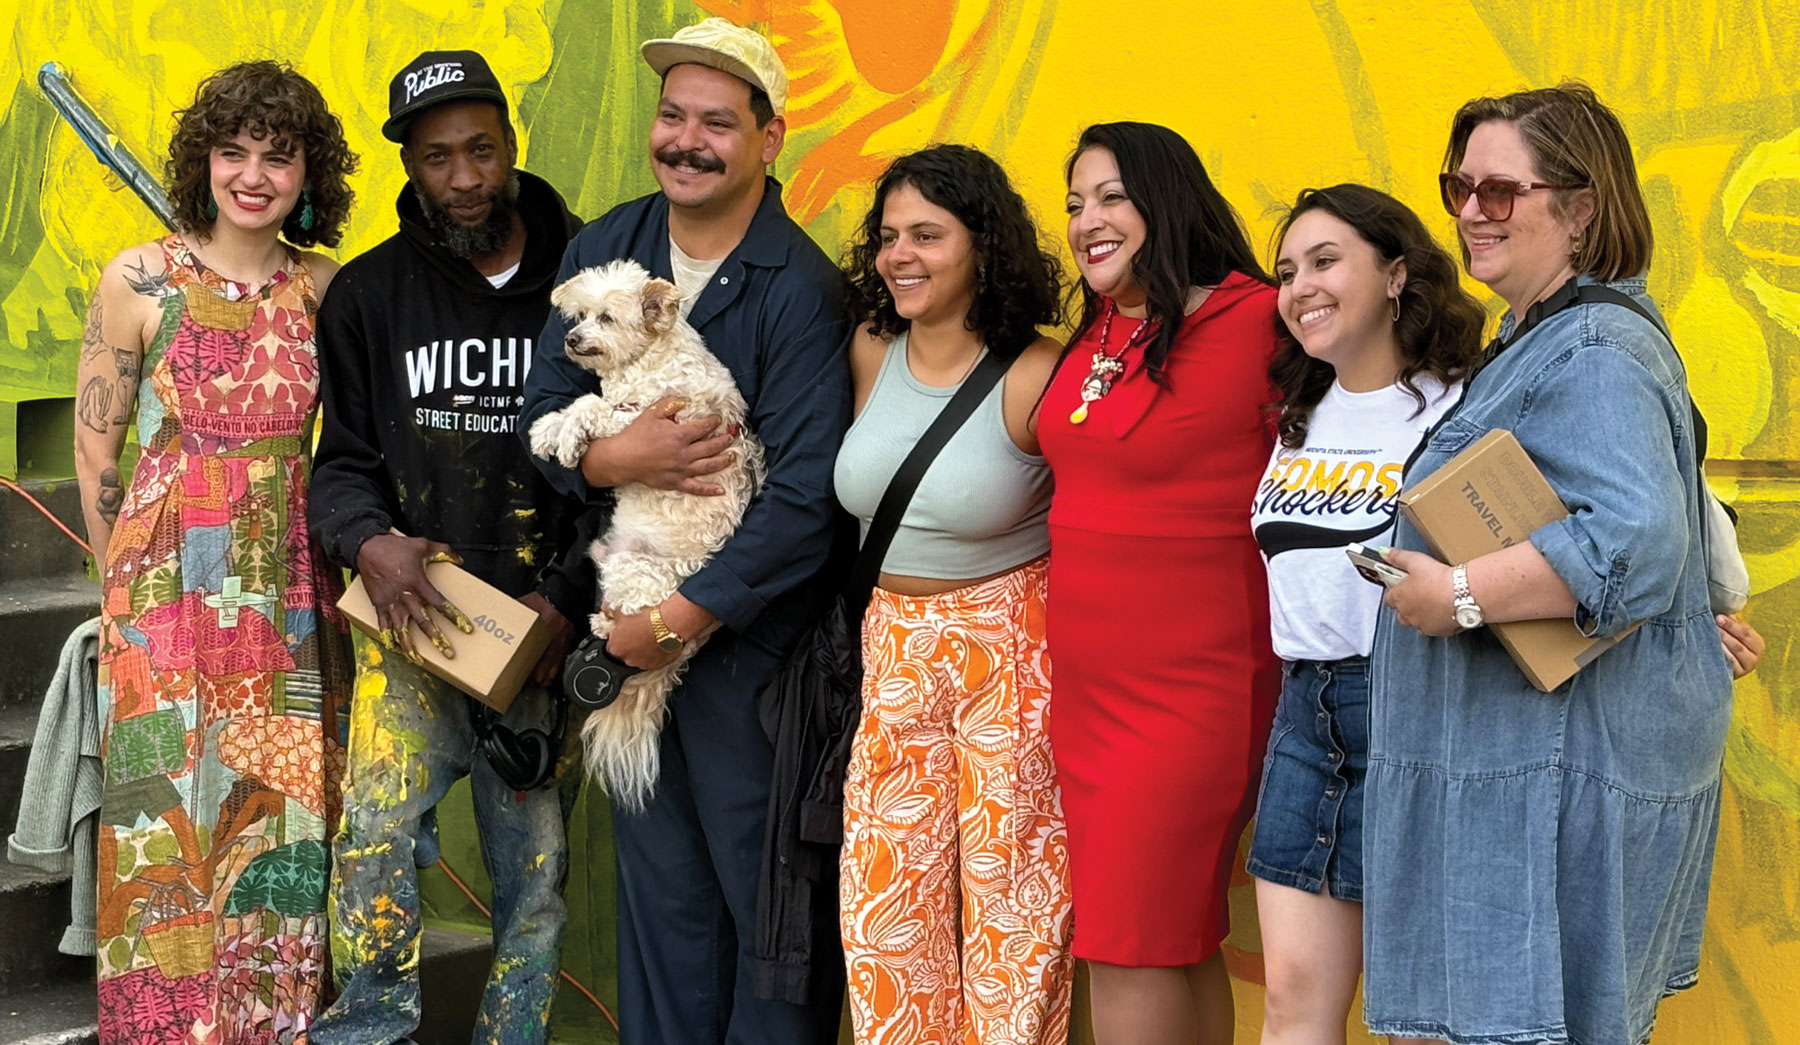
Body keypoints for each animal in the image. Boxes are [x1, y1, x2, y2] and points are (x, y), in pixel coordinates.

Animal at [529, 259, 763, 805]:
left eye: (606, 319)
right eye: (580, 315)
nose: (571, 338)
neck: (649, 361)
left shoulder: (649, 422)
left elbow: (591, 408)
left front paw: (563, 435)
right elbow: (584, 404)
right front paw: (550, 428)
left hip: (634, 571)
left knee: (623, 617)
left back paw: (605, 626)